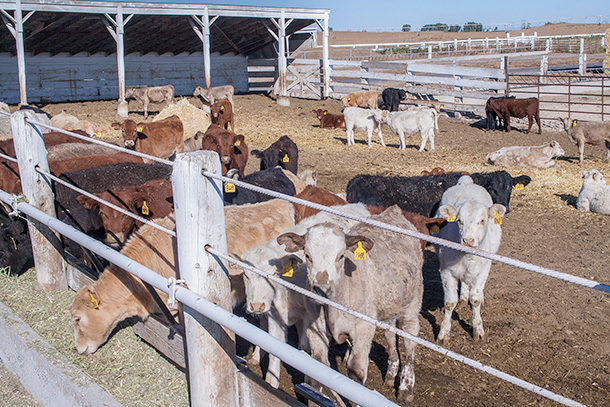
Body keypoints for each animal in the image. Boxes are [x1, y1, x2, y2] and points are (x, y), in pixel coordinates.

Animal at [278, 206, 420, 404]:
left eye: (341, 256)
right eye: (307, 255)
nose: (321, 289)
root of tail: (394, 211)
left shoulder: (364, 328)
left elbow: (356, 374)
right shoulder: (314, 329)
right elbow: (317, 370)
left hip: (413, 302)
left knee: (410, 339)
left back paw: (407, 386)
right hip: (389, 304)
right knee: (390, 332)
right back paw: (391, 374)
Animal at [434, 175, 506, 342]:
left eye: (482, 220)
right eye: (459, 220)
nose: (467, 240)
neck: (467, 257)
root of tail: (466, 182)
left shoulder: (483, 270)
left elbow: (476, 299)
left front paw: (478, 330)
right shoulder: (446, 270)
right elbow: (449, 302)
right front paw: (444, 332)